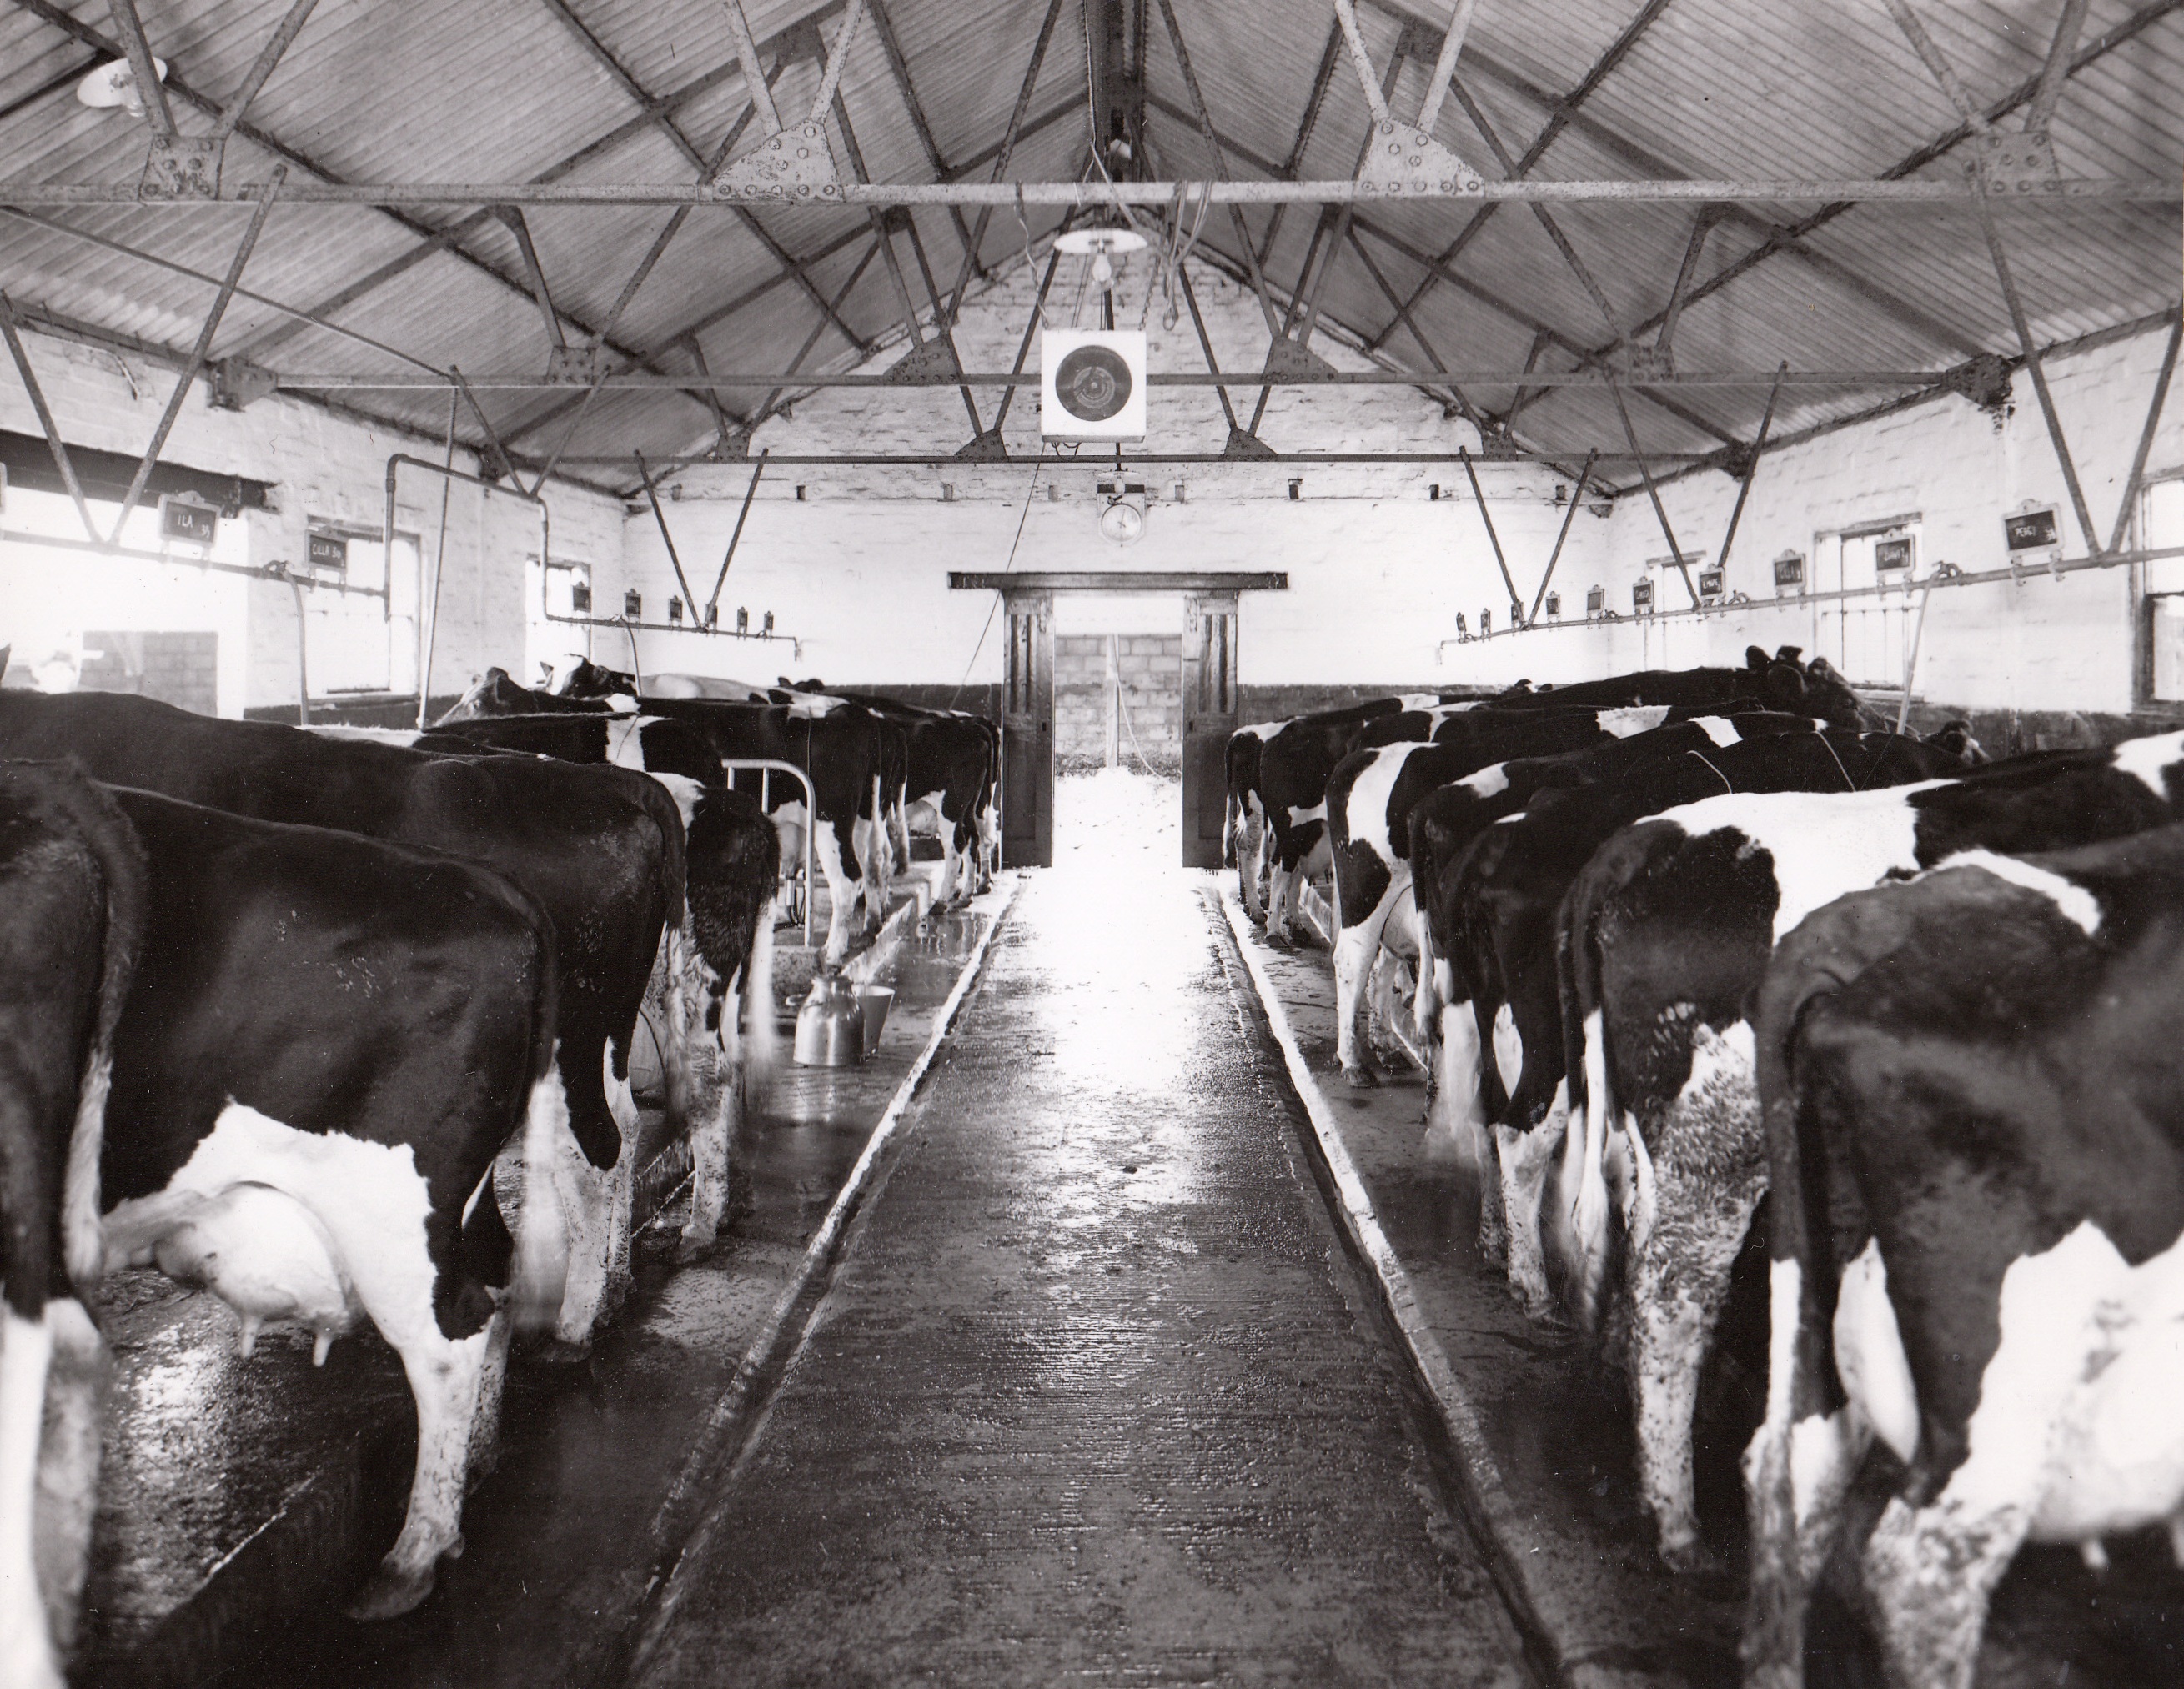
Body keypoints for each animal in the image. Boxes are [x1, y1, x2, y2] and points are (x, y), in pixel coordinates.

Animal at [0, 694, 672, 1352]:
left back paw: (577, 1322)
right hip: (602, 1036)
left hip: (570, 1043)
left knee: (591, 1153)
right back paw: (611, 1288)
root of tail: (610, 784)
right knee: (622, 1129)